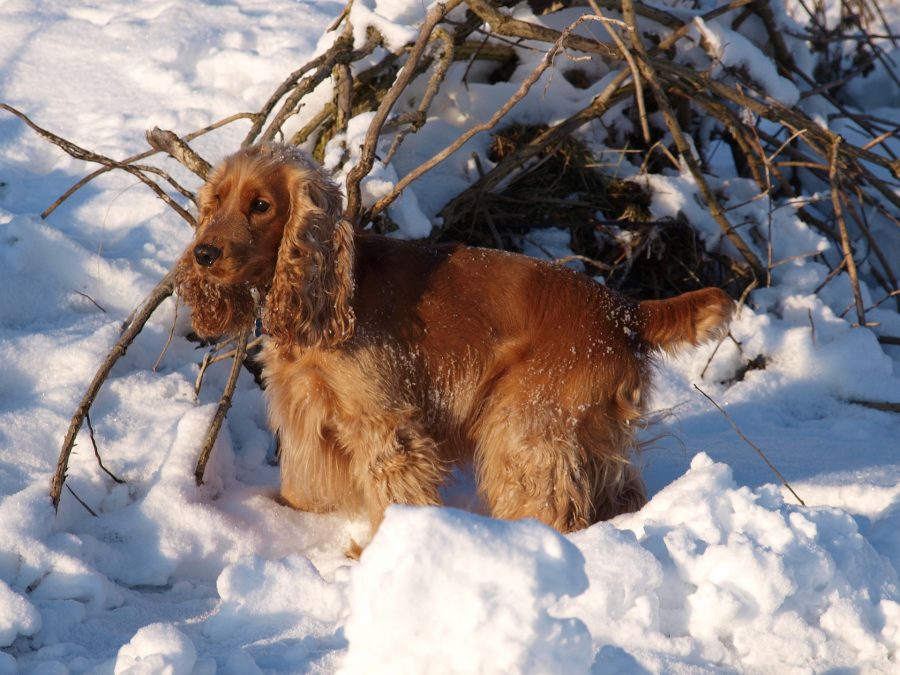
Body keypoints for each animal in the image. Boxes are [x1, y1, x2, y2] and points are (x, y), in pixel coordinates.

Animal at [174, 143, 732, 540]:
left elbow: (394, 492)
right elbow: (298, 486)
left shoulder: (386, 424)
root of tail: (625, 310)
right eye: (216, 201)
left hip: (526, 426)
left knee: (550, 505)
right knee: (619, 491)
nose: (203, 253)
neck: (328, 295)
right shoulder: (307, 412)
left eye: (261, 205)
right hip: (583, 429)